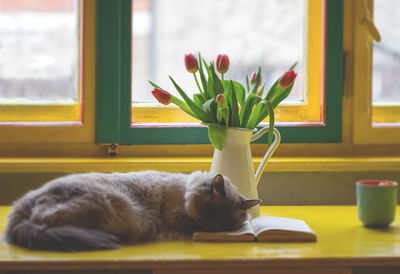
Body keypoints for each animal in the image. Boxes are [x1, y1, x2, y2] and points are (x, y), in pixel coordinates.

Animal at [4, 172, 260, 252]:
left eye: (226, 223)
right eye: (212, 212)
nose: (213, 229)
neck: (186, 190)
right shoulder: (177, 217)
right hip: (112, 205)